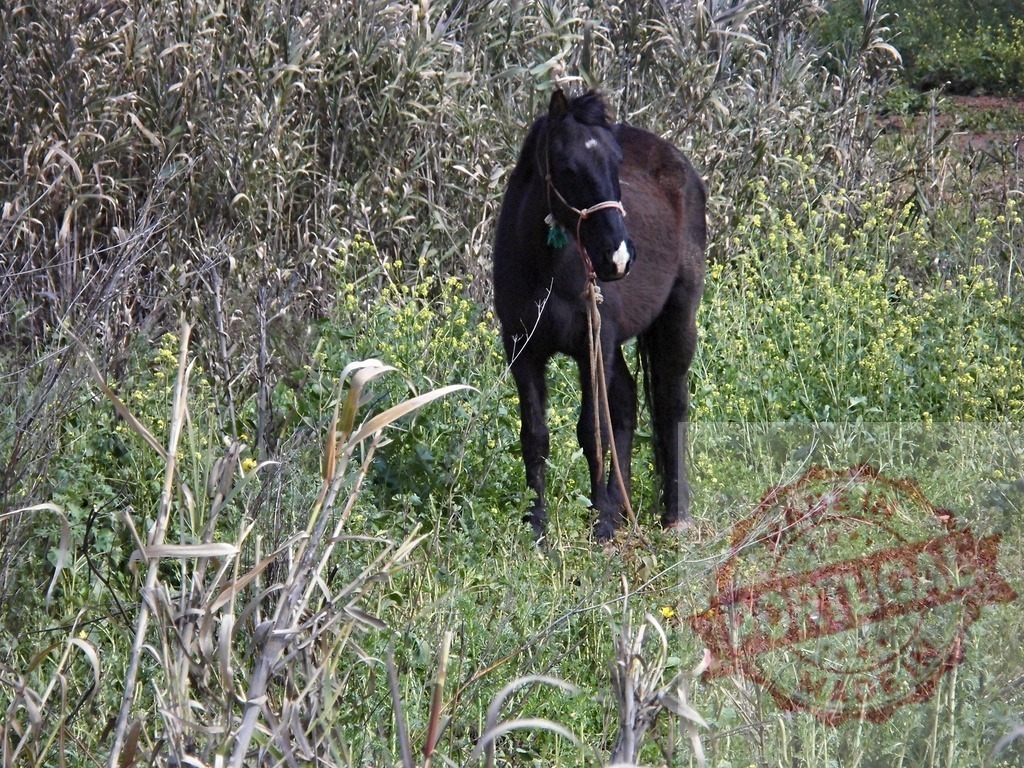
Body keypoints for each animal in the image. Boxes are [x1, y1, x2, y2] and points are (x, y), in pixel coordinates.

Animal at [493, 89, 707, 542]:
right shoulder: (522, 350)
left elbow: (592, 432)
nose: (619, 257)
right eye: (567, 166)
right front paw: (537, 527)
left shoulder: (594, 344)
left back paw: (673, 516)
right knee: (626, 403)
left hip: (677, 320)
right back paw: (620, 510)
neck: (549, 270)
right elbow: (535, 436)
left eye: (616, 162)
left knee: (672, 405)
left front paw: (600, 529)